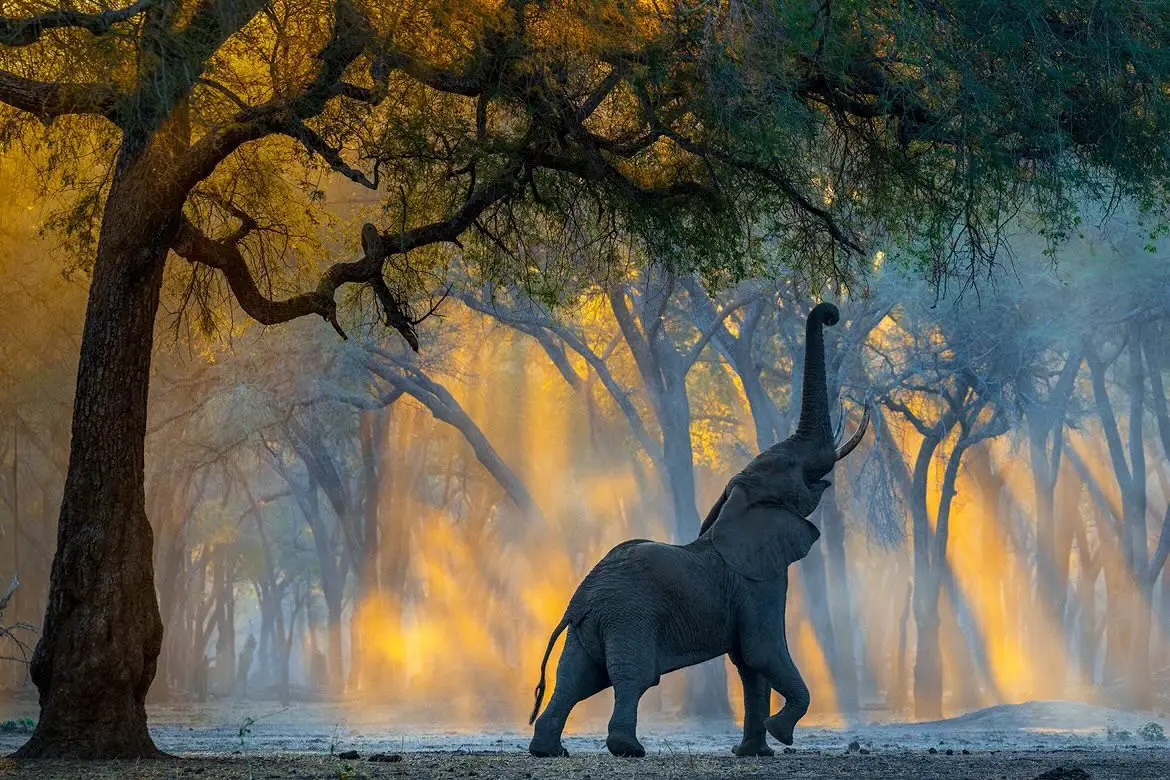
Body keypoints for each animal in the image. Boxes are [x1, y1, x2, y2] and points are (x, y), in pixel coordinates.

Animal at [527, 302, 869, 759]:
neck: (734, 503)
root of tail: (579, 601)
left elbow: (749, 665)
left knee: (575, 678)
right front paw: (780, 733)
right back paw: (628, 748)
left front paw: (754, 753)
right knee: (632, 677)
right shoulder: (758, 582)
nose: (831, 313)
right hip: (629, 617)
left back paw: (549, 750)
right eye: (792, 466)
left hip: (589, 627)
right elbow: (763, 651)